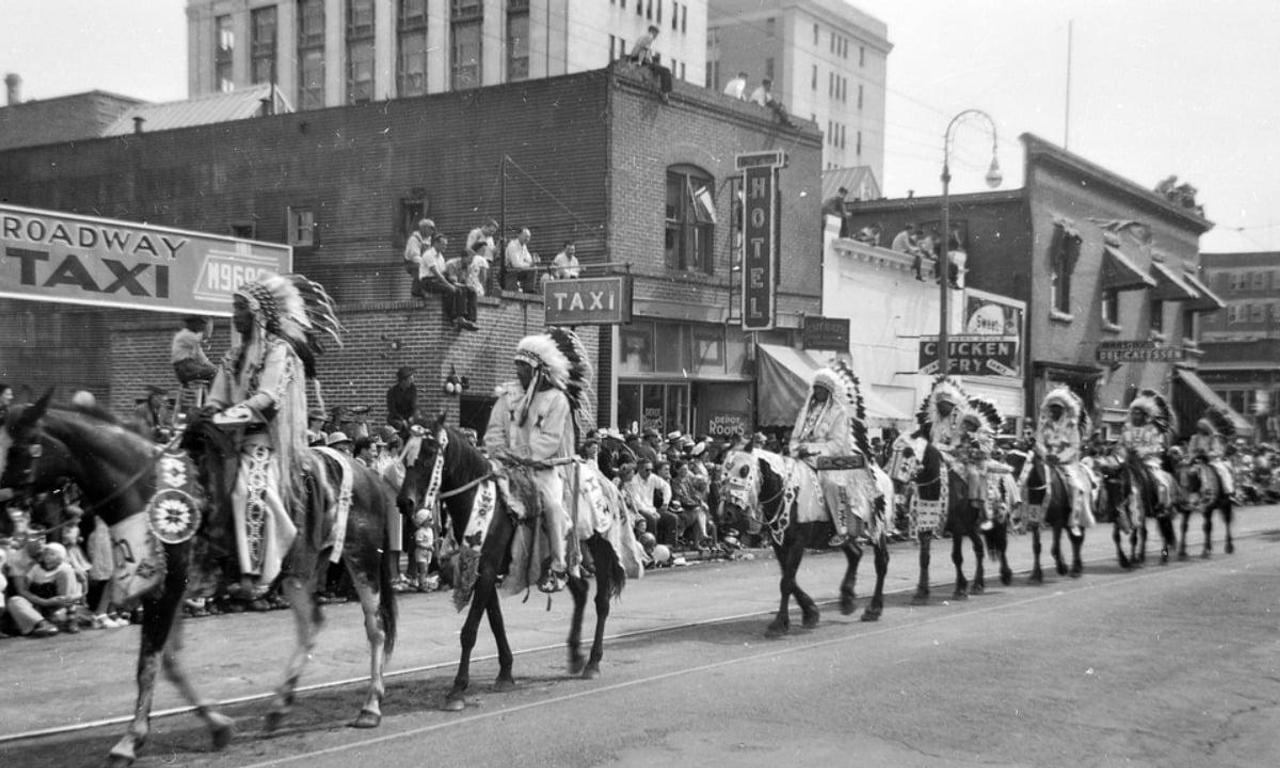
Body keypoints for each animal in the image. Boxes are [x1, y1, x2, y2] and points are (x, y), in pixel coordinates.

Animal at [0, 396, 394, 768]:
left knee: (375, 629)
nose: (7, 515)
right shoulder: (171, 590)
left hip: (361, 560)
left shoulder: (165, 590)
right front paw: (217, 726)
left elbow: (148, 665)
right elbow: (170, 662)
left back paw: (371, 706)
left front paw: (128, 742)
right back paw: (279, 708)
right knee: (311, 623)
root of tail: (366, 473)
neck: (145, 488)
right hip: (296, 572)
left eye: (19, 446)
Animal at [391, 417, 627, 711]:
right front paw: (505, 673)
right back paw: (575, 656)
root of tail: (604, 479)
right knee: (582, 592)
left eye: (430, 453)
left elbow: (470, 631)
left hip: (601, 546)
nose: (405, 502)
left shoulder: (486, 569)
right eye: (404, 456)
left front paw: (457, 690)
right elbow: (495, 621)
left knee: (601, 601)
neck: (481, 503)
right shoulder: (483, 569)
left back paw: (593, 662)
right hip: (563, 556)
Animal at [721, 437, 890, 629]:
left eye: (744, 470)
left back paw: (873, 609)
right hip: (842, 534)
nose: (729, 513)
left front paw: (780, 623)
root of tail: (882, 474)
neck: (787, 493)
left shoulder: (798, 543)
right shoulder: (779, 543)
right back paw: (847, 600)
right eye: (723, 472)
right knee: (855, 554)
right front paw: (810, 612)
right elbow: (789, 578)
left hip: (877, 529)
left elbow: (787, 582)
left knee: (881, 562)